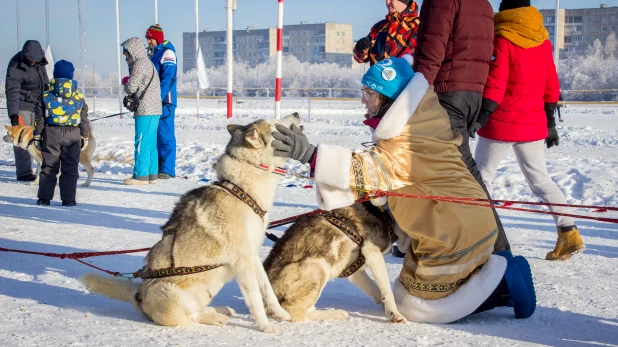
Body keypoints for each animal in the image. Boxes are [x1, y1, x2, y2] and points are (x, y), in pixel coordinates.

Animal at [80, 114, 302, 334]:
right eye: (275, 123)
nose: (297, 114)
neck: (241, 189)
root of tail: (140, 296)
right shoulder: (242, 261)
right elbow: (255, 299)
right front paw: (265, 326)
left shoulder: (252, 254)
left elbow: (267, 289)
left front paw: (280, 313)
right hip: (172, 294)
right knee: (190, 316)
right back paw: (215, 318)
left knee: (197, 309)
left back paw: (219, 310)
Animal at [262, 203, 406, 324]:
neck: (385, 215)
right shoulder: (372, 252)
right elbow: (387, 289)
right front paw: (395, 313)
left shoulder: (355, 270)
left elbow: (376, 289)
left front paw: (384, 305)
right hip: (319, 267)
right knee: (296, 313)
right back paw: (334, 314)